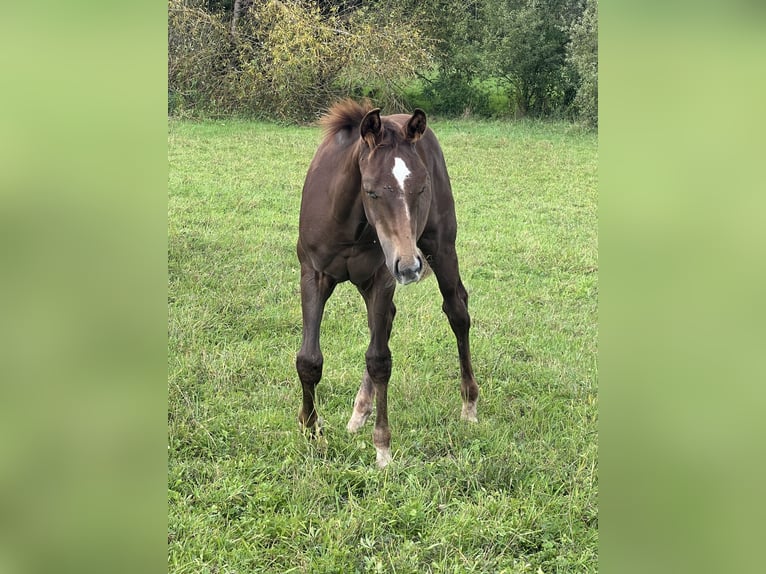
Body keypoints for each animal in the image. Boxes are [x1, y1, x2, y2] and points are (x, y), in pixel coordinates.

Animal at [296, 99, 479, 467]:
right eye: (371, 191)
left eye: (421, 187)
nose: (409, 267)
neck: (347, 221)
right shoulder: (313, 275)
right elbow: (309, 360)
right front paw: (311, 431)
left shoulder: (381, 278)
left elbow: (379, 360)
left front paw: (382, 447)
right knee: (386, 322)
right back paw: (358, 412)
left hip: (440, 247)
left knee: (457, 311)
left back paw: (469, 404)